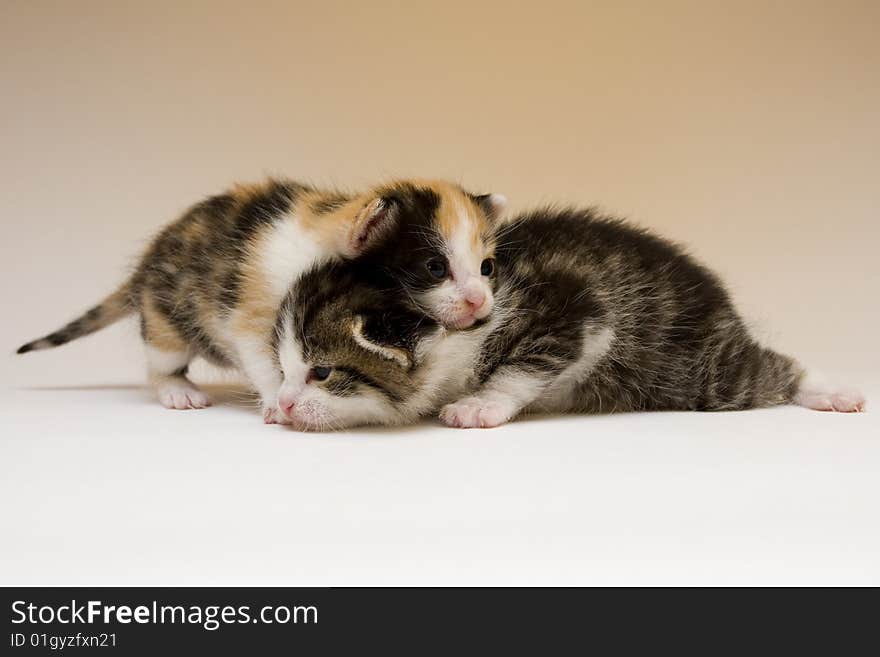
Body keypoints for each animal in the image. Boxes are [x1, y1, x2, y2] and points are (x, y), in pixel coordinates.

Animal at [17, 177, 506, 420]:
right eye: (435, 268)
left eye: (487, 267)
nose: (480, 302)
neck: (318, 246)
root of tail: (145, 266)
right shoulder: (253, 308)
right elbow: (263, 358)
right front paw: (277, 401)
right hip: (165, 319)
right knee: (160, 361)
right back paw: (177, 391)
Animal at [272, 206, 864, 430]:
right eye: (284, 371)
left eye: (322, 372)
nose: (286, 401)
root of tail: (719, 300)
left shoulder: (577, 311)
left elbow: (523, 366)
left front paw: (480, 405)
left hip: (695, 369)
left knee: (772, 368)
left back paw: (831, 392)